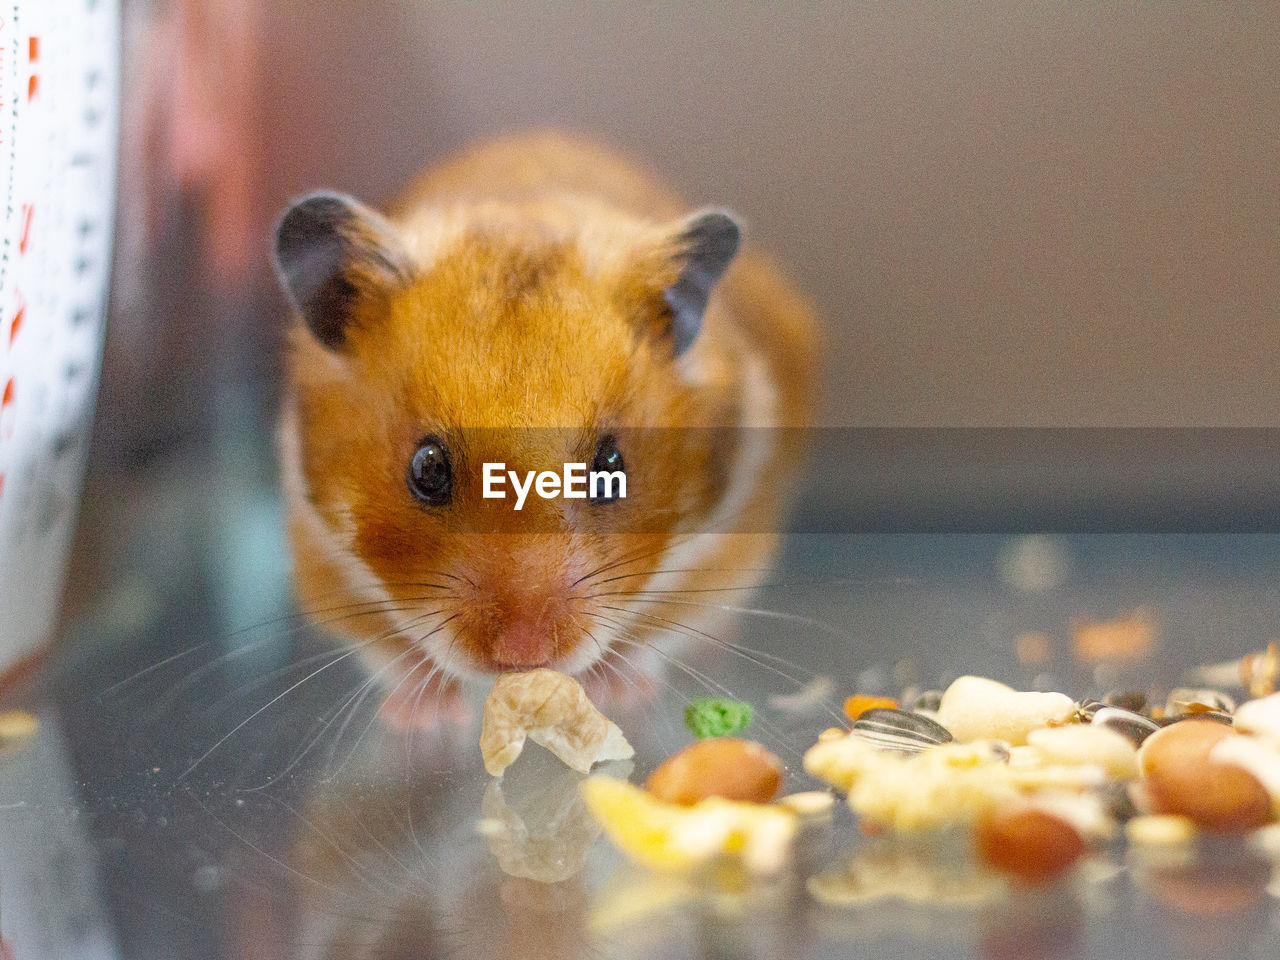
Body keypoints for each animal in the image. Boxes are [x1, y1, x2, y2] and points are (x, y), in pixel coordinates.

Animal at [272, 131, 819, 727]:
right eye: (427, 468)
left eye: (611, 468)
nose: (523, 655)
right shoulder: (319, 554)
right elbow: (386, 646)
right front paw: (424, 716)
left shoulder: (726, 544)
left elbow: (656, 630)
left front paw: (618, 693)